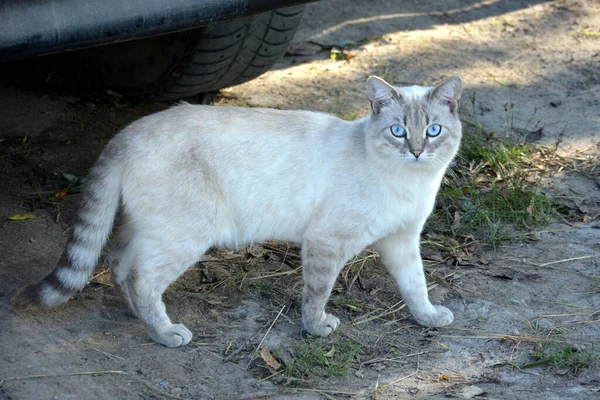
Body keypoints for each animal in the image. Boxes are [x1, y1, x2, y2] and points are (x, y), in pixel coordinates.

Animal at [10, 74, 464, 346]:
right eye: (398, 131)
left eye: (433, 130)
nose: (417, 151)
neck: (409, 183)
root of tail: (128, 131)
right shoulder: (326, 243)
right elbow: (317, 293)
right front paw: (317, 328)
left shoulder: (402, 241)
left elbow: (416, 285)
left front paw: (428, 318)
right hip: (185, 235)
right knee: (141, 277)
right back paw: (165, 332)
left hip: (150, 229)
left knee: (119, 264)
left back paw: (138, 316)